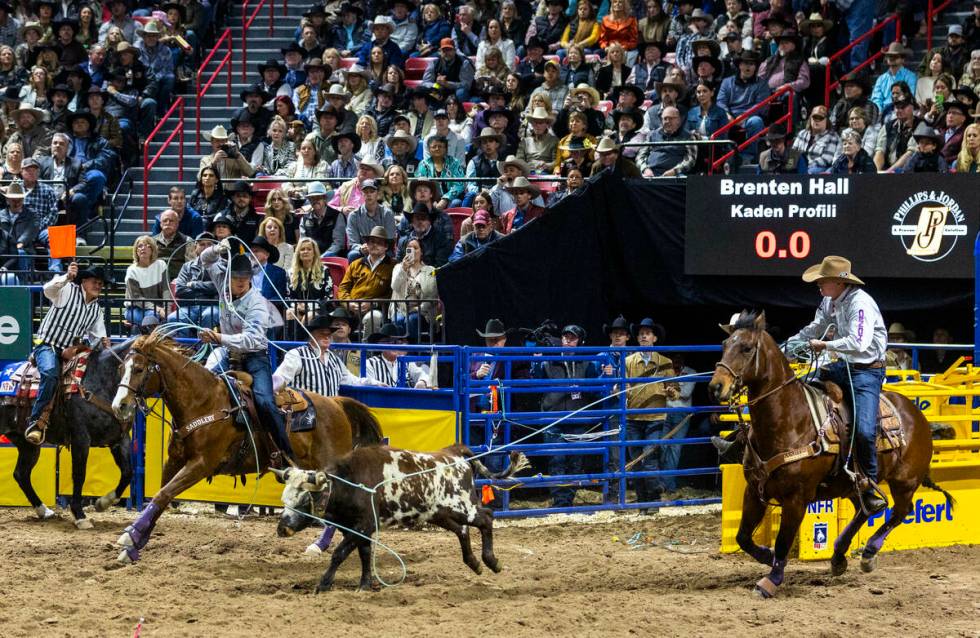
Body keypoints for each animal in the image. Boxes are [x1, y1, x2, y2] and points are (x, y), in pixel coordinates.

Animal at [0, 342, 136, 532]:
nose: (124, 405)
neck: (101, 379)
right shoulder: (81, 438)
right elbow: (79, 474)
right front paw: (79, 515)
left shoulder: (120, 439)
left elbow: (127, 472)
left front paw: (103, 503)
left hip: (28, 445)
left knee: (21, 474)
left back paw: (44, 511)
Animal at [108, 332, 382, 564]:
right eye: (121, 368)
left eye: (139, 369)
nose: (119, 406)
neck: (203, 401)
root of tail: (336, 402)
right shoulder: (175, 459)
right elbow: (160, 496)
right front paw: (134, 545)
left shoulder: (201, 464)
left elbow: (163, 494)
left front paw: (130, 537)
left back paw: (320, 545)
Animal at [274, 442, 528, 592]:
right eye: (284, 500)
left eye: (303, 500)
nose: (281, 529)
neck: (348, 482)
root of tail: (455, 453)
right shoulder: (358, 529)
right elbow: (364, 554)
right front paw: (365, 584)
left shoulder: (363, 526)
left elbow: (339, 553)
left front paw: (323, 584)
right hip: (439, 513)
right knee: (462, 530)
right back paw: (474, 563)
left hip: (463, 506)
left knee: (486, 518)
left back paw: (491, 560)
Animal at [708, 314, 952, 600]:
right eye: (725, 344)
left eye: (746, 348)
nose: (716, 387)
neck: (790, 420)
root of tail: (916, 414)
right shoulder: (755, 490)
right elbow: (743, 537)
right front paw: (767, 557)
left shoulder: (797, 499)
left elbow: (782, 542)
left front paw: (771, 580)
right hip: (852, 484)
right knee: (865, 510)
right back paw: (838, 556)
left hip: (905, 481)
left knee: (900, 512)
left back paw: (868, 554)